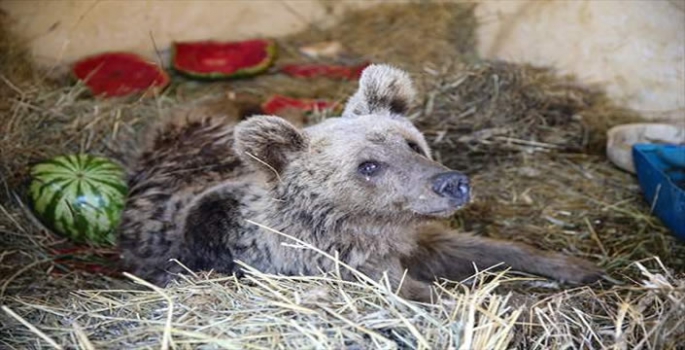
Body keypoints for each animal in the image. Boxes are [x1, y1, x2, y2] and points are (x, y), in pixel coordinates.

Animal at [120, 64, 600, 302]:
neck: (369, 228)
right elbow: (421, 292)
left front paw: (576, 265)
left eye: (412, 143)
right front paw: (508, 302)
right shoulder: (341, 264)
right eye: (368, 166)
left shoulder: (414, 234)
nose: (452, 183)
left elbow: (475, 246)